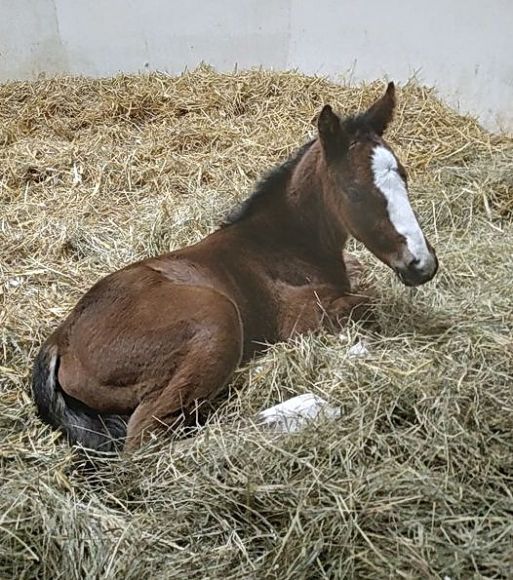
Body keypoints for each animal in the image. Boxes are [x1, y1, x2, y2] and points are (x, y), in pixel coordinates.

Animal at [33, 82, 436, 454]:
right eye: (353, 190)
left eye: (404, 175)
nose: (422, 265)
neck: (282, 245)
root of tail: (59, 340)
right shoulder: (302, 320)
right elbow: (369, 305)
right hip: (218, 319)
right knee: (152, 438)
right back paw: (305, 408)